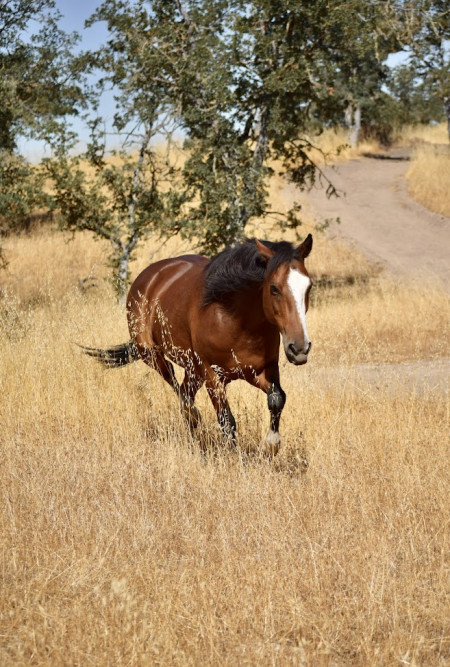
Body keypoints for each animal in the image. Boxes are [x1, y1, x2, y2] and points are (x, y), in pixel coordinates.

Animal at [81, 234, 312, 454]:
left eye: (308, 286)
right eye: (274, 288)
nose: (299, 348)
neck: (234, 318)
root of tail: (148, 277)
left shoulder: (260, 370)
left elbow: (277, 398)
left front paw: (271, 446)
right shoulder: (212, 375)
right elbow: (227, 421)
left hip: (192, 369)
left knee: (185, 391)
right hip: (154, 355)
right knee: (176, 386)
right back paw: (192, 417)